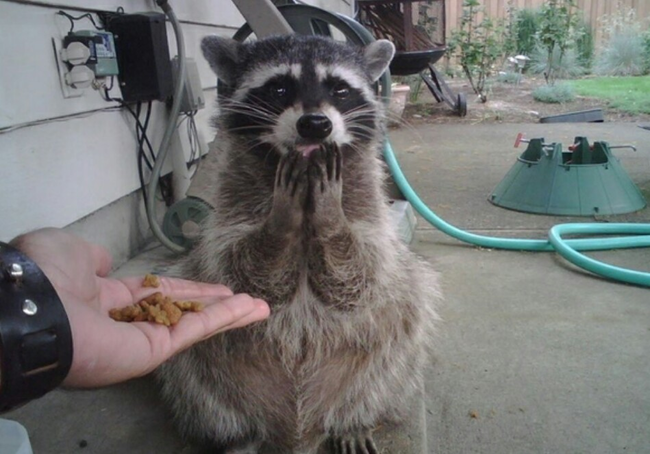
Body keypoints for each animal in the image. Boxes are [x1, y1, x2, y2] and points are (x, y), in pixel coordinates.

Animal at [157, 34, 441, 454]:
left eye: (340, 89)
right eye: (279, 88)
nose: (315, 125)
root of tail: (297, 428)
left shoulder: (368, 205)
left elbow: (362, 277)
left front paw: (331, 219)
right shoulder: (232, 208)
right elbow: (243, 276)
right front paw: (281, 222)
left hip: (383, 364)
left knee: (403, 322)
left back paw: (353, 420)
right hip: (210, 377)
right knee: (191, 366)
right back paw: (237, 435)